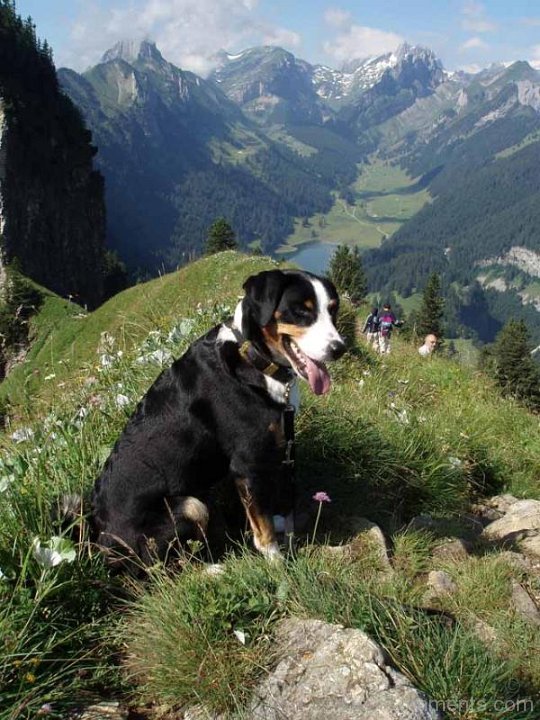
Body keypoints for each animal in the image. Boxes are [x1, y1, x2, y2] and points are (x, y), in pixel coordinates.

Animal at [90, 268, 344, 564]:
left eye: (333, 310)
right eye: (301, 311)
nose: (339, 348)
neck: (253, 359)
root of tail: (101, 539)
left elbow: (262, 506)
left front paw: (280, 522)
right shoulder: (247, 462)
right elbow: (262, 522)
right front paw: (275, 560)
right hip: (191, 506)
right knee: (165, 566)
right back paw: (214, 569)